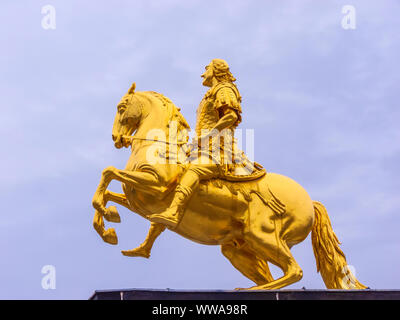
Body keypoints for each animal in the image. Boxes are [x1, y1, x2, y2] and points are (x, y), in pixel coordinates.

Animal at [92, 82, 368, 290]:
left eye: (121, 107)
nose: (117, 139)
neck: (159, 148)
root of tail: (309, 202)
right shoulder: (138, 200)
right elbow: (109, 195)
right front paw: (109, 226)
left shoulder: (156, 185)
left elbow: (108, 172)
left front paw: (109, 221)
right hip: (240, 249)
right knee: (275, 274)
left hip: (263, 236)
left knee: (294, 271)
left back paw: (249, 290)